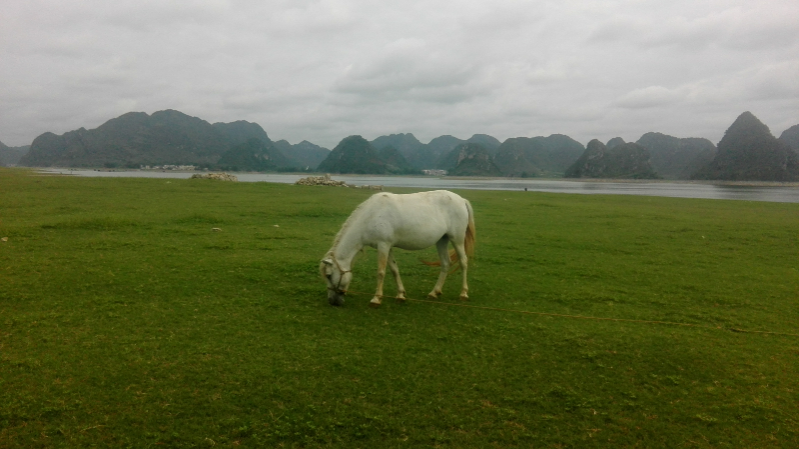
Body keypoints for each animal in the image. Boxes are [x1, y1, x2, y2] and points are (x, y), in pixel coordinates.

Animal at [322, 187, 478, 306]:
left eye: (329, 275)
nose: (332, 301)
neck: (371, 216)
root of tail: (461, 200)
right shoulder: (388, 246)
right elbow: (394, 270)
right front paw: (400, 295)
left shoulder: (383, 245)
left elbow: (381, 272)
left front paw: (376, 299)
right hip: (442, 240)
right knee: (446, 263)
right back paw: (434, 292)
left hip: (457, 239)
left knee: (463, 262)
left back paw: (463, 293)